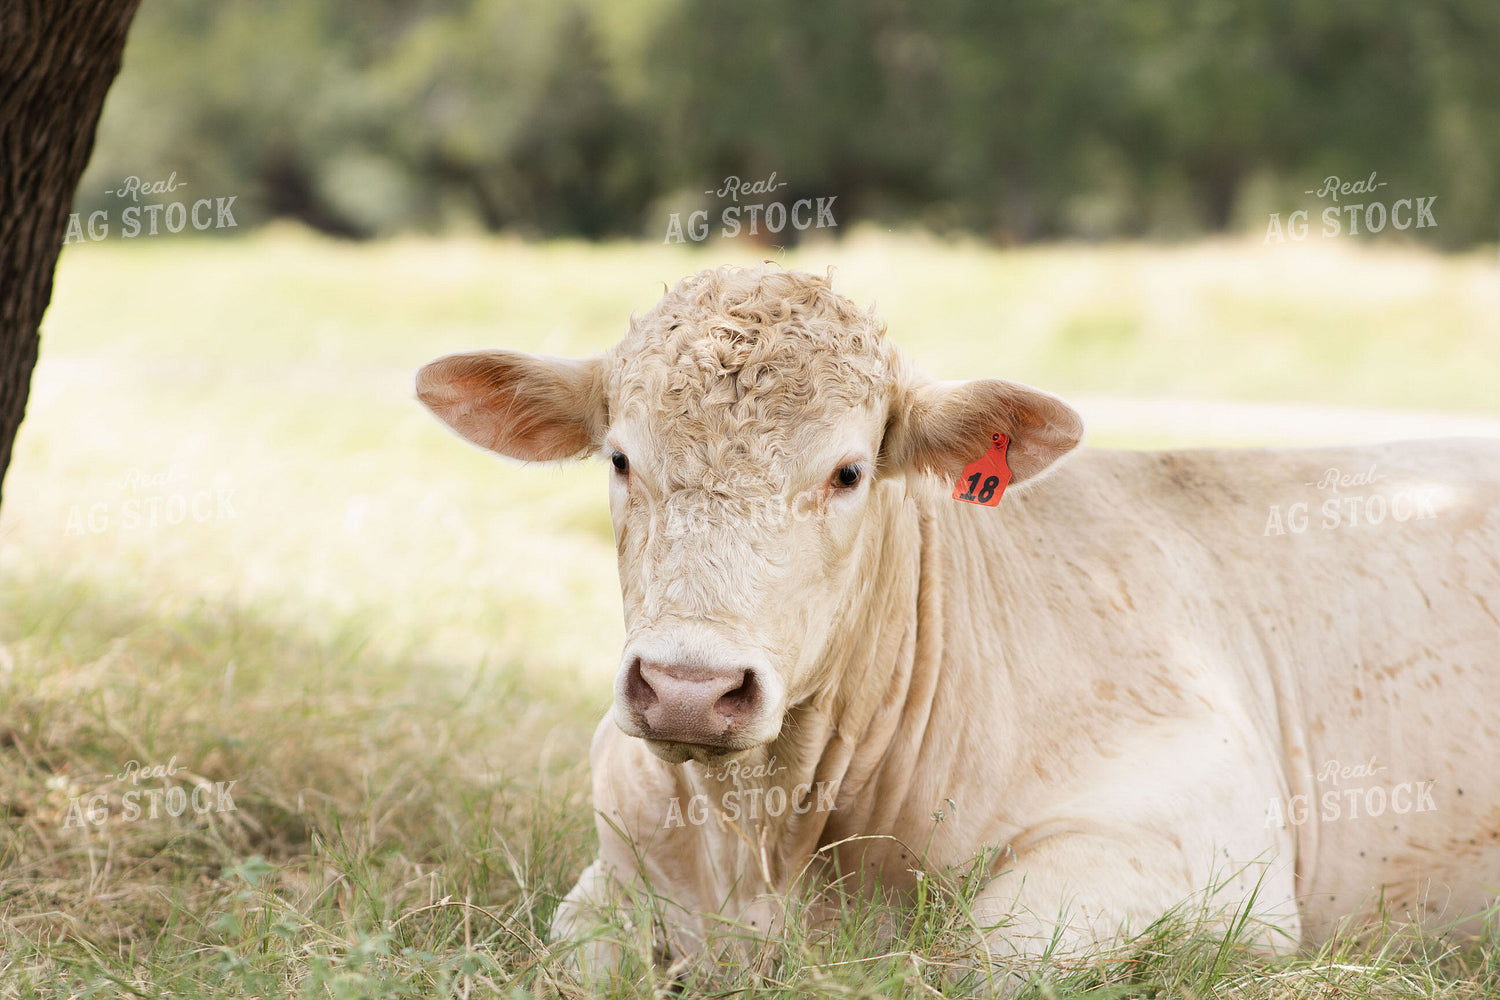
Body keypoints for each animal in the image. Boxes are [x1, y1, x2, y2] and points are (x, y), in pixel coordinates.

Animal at [417, 265, 1500, 978]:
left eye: (848, 472)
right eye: (620, 458)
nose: (690, 686)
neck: (764, 843)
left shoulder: (1208, 852)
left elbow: (978, 957)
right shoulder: (616, 864)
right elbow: (580, 952)